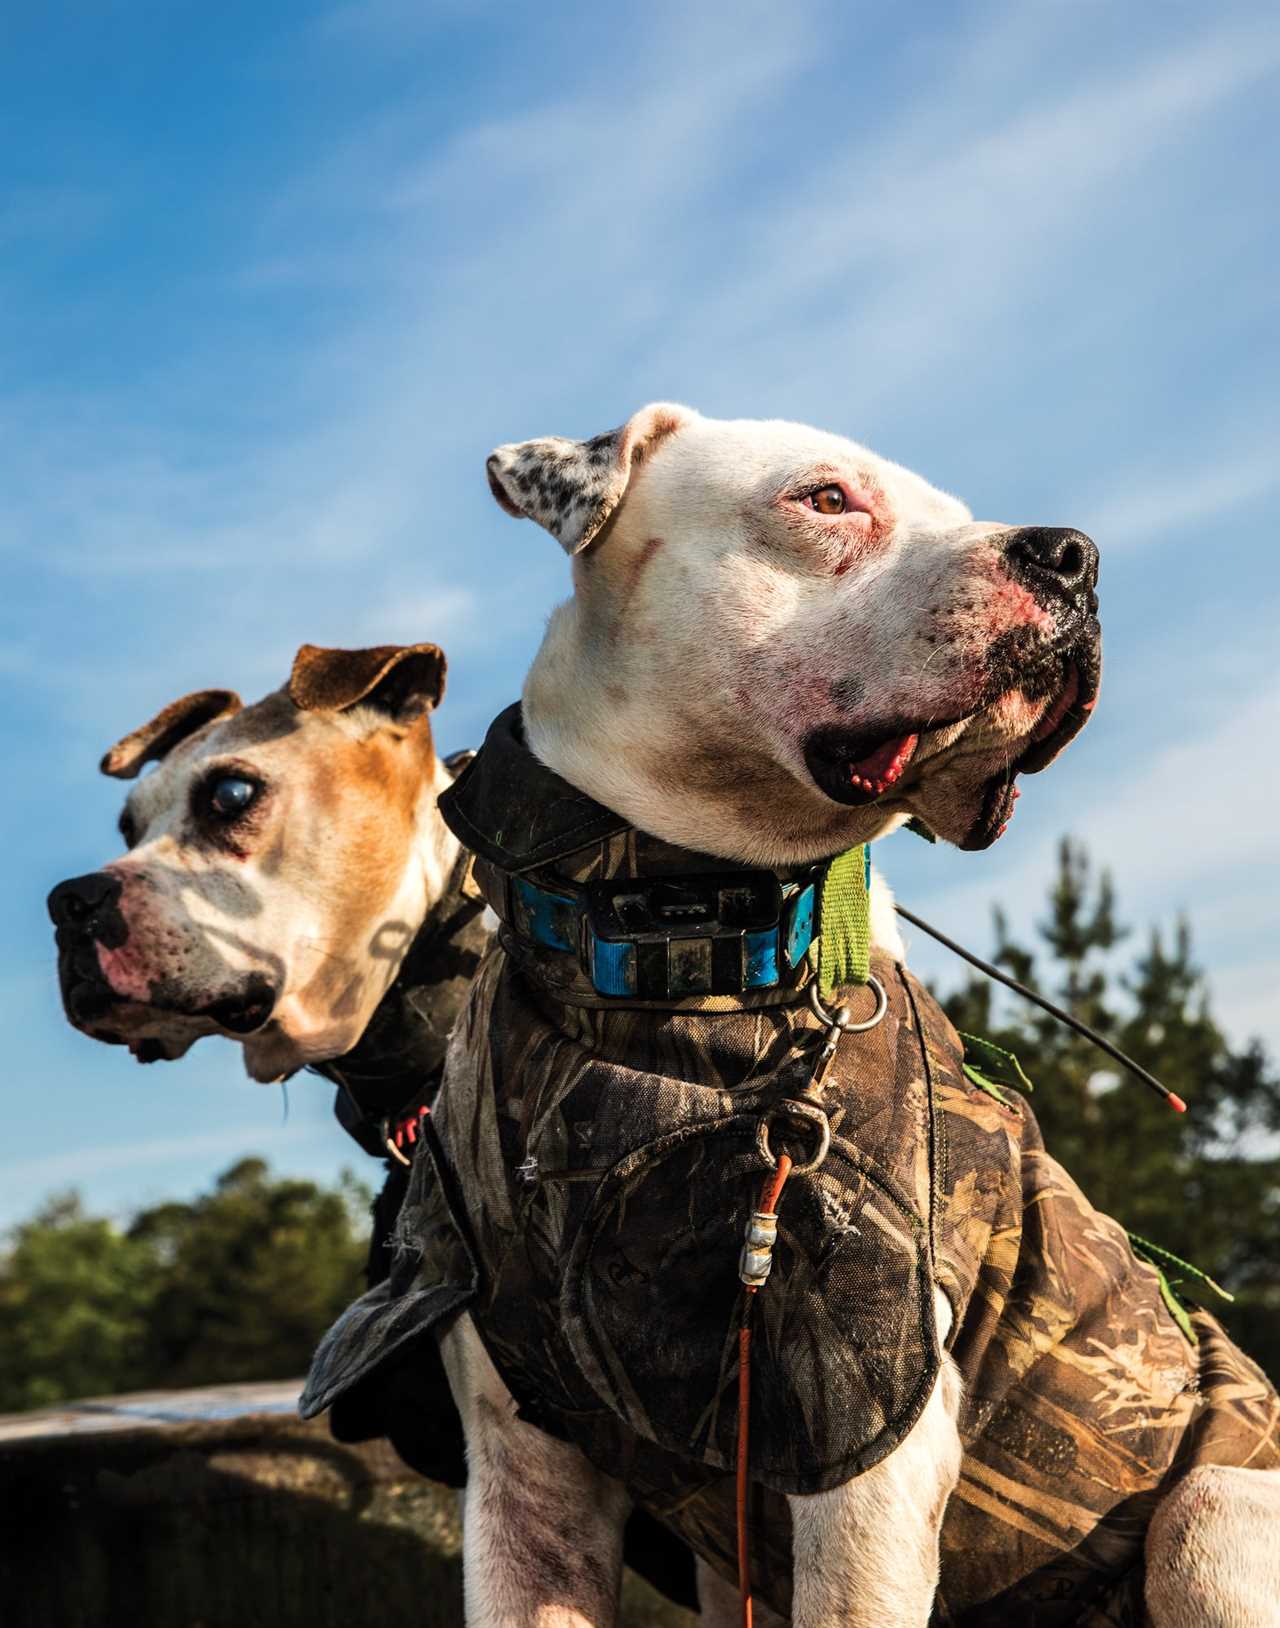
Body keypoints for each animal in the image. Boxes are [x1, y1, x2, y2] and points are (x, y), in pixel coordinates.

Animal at [429, 397, 1276, 1628]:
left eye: (961, 510)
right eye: (824, 498)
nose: (1072, 552)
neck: (670, 958)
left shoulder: (866, 1437)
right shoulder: (524, 1470)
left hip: (1212, 1508)